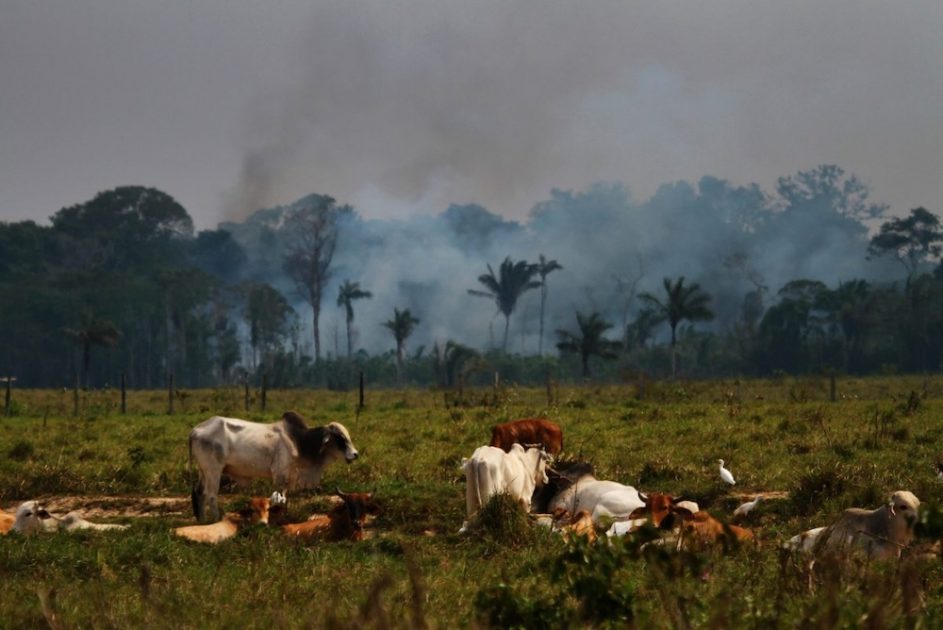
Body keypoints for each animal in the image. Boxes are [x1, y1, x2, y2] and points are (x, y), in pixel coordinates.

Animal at [190, 410, 360, 524]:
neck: (300, 441)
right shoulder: (280, 474)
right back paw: (216, 520)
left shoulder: (289, 477)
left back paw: (202, 521)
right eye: (340, 438)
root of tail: (196, 430)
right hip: (214, 470)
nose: (355, 454)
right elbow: (278, 499)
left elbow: (284, 499)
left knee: (199, 493)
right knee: (211, 494)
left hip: (203, 471)